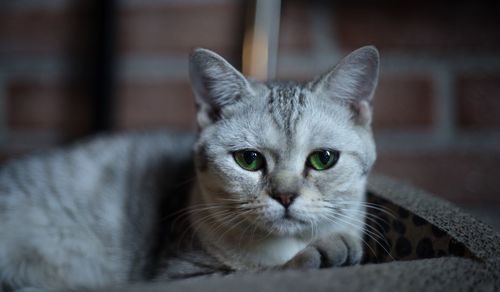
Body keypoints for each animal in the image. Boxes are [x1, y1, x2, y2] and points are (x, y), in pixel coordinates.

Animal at [0, 45, 378, 290]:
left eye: (323, 159)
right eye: (249, 159)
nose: (285, 196)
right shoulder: (181, 274)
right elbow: (259, 273)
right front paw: (320, 254)